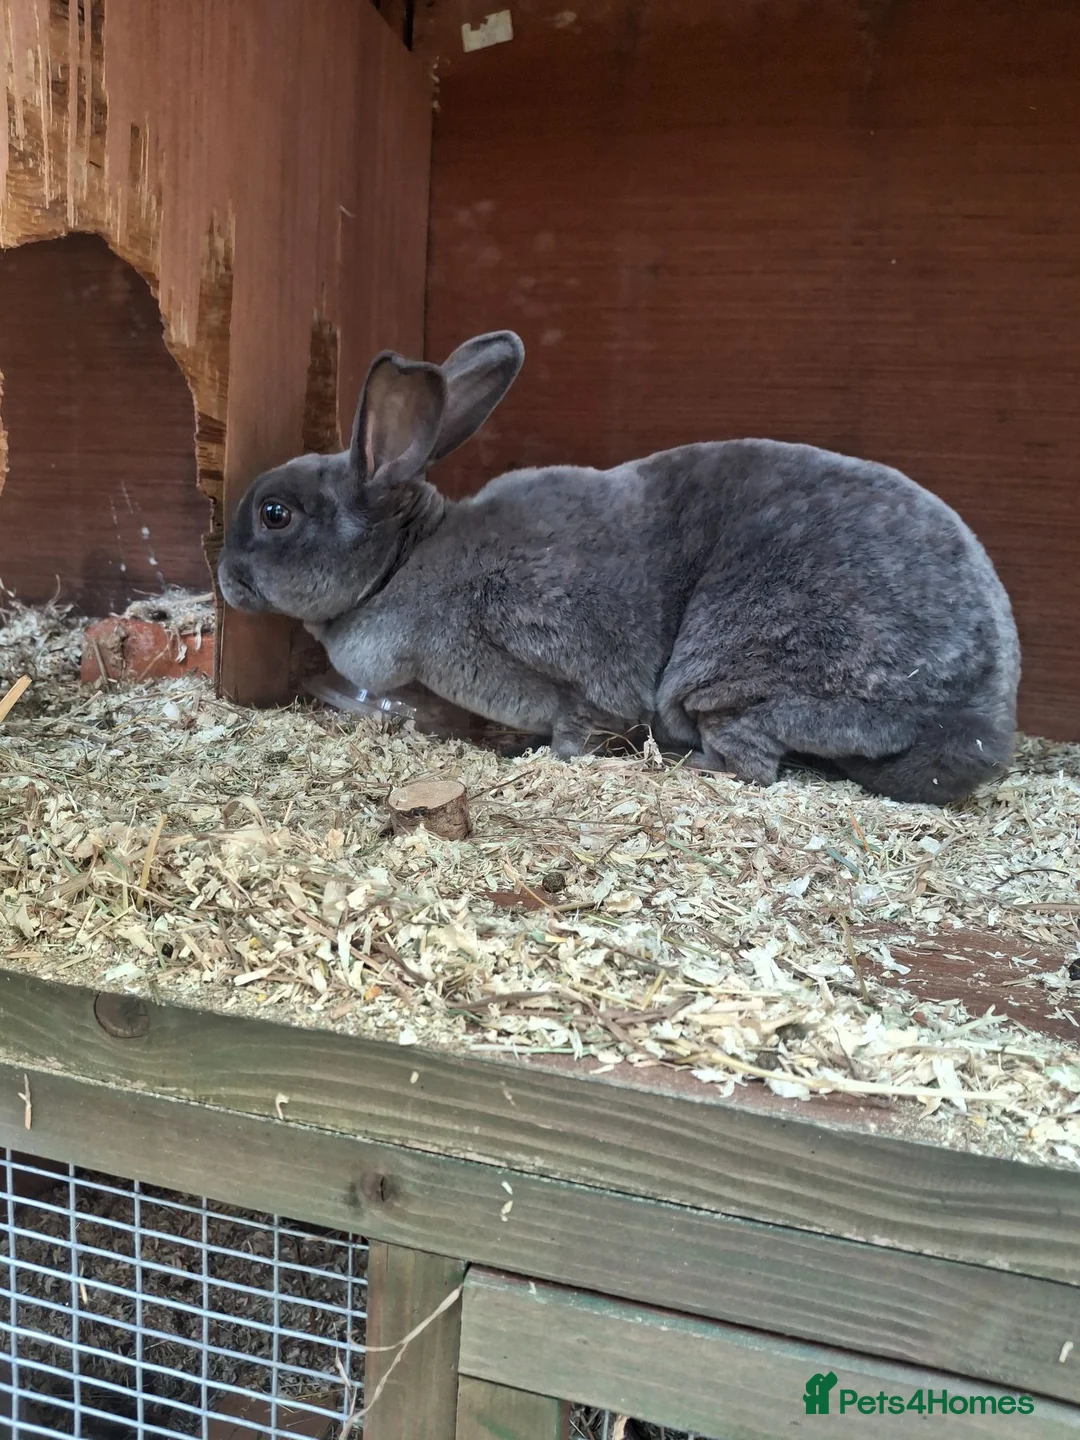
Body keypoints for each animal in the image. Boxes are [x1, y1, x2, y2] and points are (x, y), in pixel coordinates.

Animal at [217, 330, 1020, 805]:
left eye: (274, 514)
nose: (224, 575)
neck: (405, 563)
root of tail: (981, 723)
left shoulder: (558, 657)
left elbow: (584, 716)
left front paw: (555, 756)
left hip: (734, 672)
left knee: (751, 756)